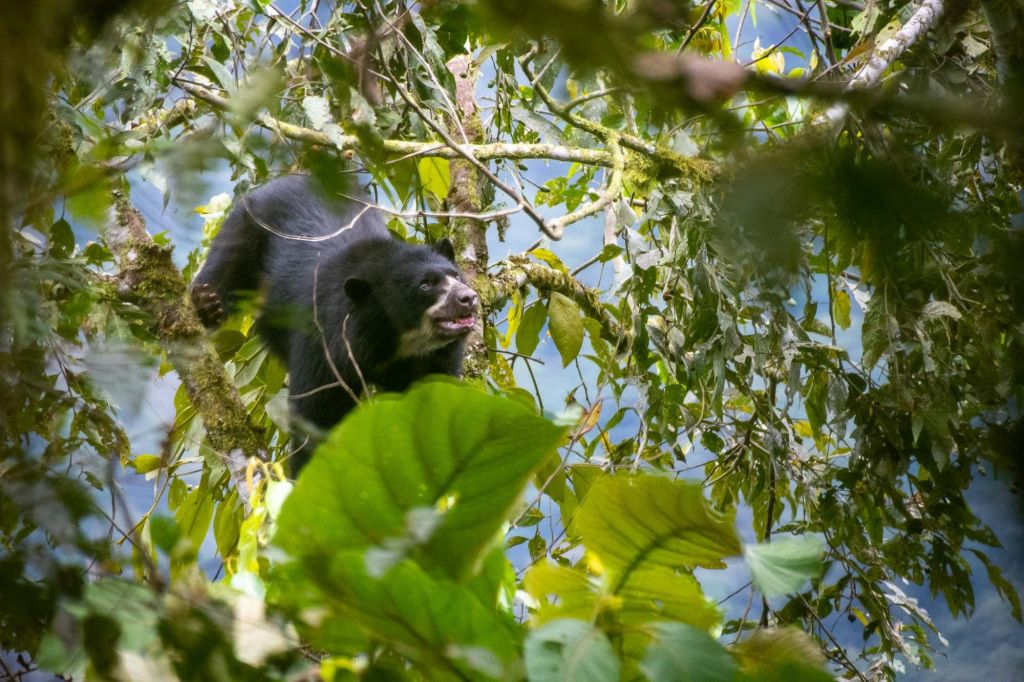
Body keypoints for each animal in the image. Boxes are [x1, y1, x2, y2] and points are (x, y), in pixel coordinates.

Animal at [190, 175, 477, 471]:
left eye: (455, 275)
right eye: (425, 285)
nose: (468, 298)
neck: (395, 339)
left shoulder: (433, 359)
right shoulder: (326, 347)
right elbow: (316, 417)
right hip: (243, 230)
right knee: (223, 268)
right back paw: (205, 304)